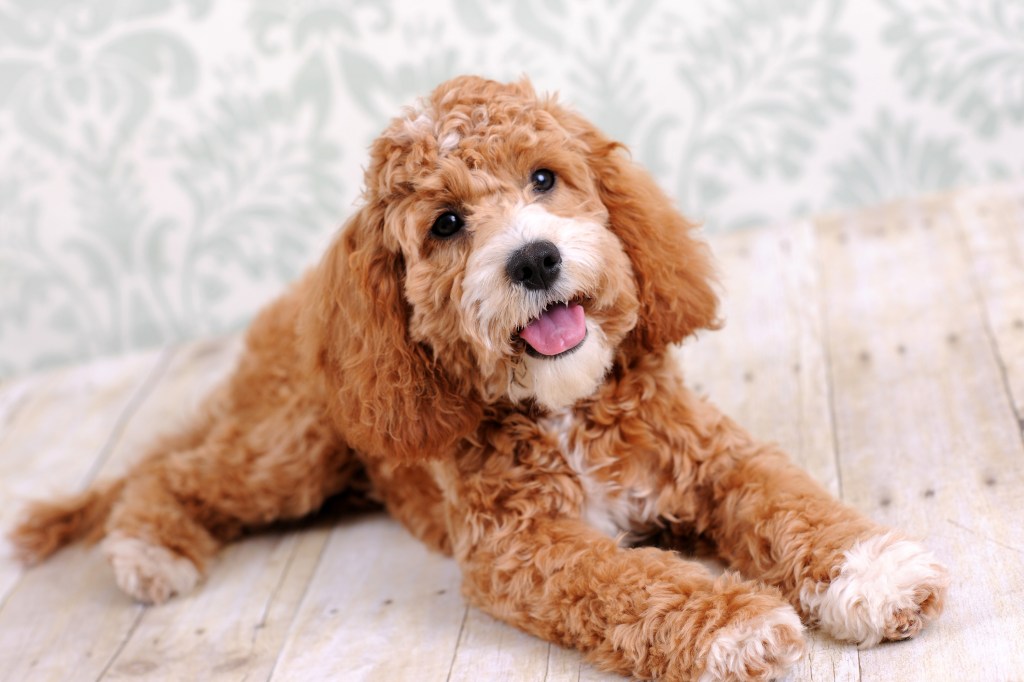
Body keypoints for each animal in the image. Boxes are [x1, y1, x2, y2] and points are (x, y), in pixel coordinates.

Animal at [9, 76, 950, 679]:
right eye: (447, 224)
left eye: (544, 177)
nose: (534, 258)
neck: (564, 409)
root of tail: (296, 307)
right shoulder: (522, 547)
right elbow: (631, 580)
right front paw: (738, 624)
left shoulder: (714, 456)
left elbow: (794, 503)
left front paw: (875, 575)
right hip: (293, 449)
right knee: (177, 473)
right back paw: (148, 549)